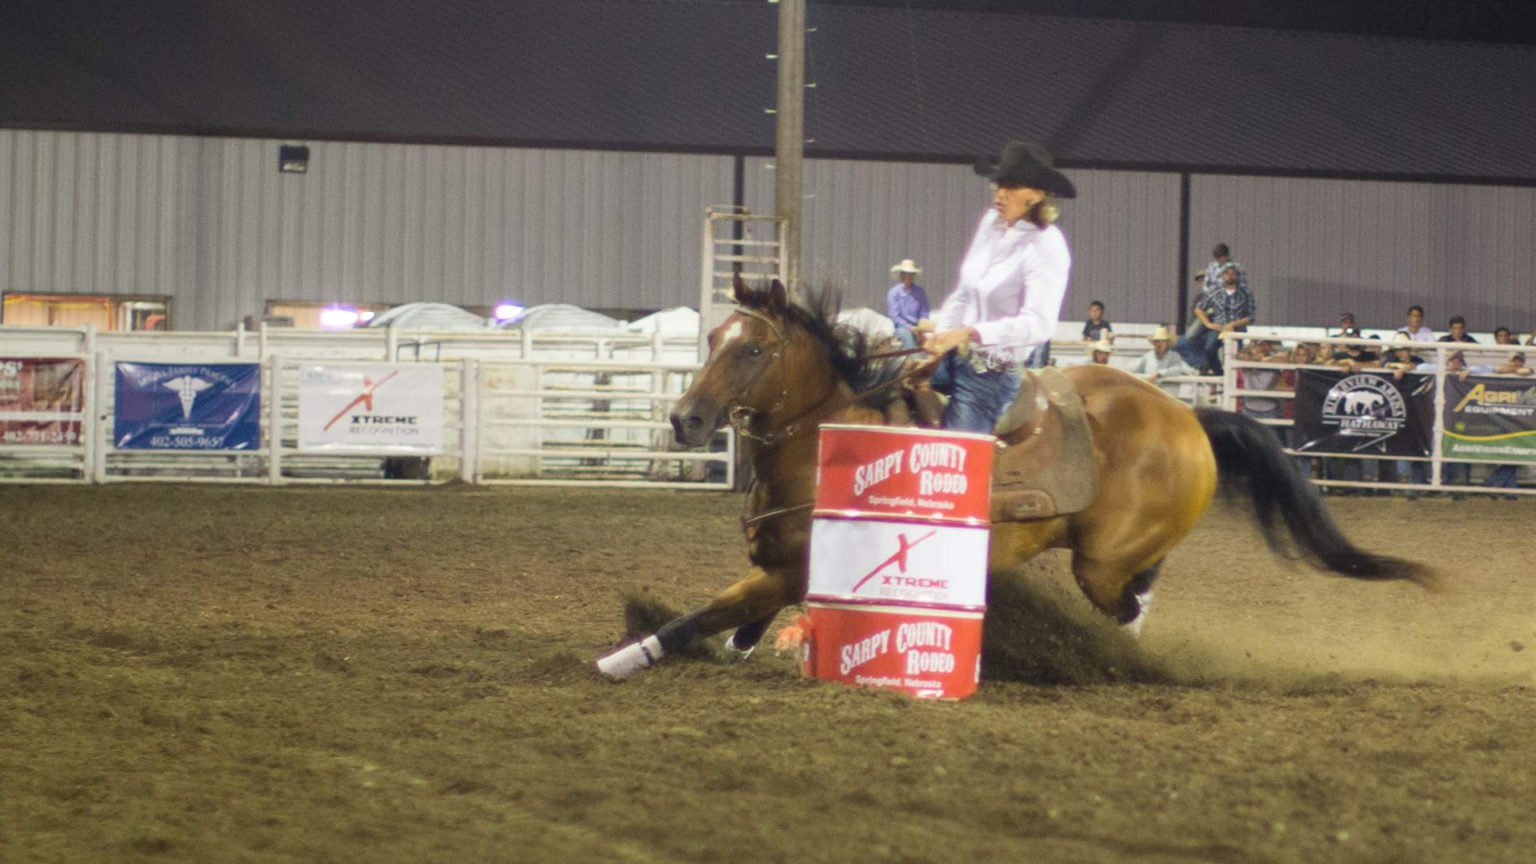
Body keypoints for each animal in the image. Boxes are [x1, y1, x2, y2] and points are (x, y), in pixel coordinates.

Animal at [595, 276, 1425, 679]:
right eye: (713, 338)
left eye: (756, 350)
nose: (686, 421)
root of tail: (1190, 417)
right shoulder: (778, 564)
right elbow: (736, 619)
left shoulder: (795, 570)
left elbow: (703, 614)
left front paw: (621, 660)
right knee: (1140, 590)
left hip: (1101, 562)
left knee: (1127, 602)